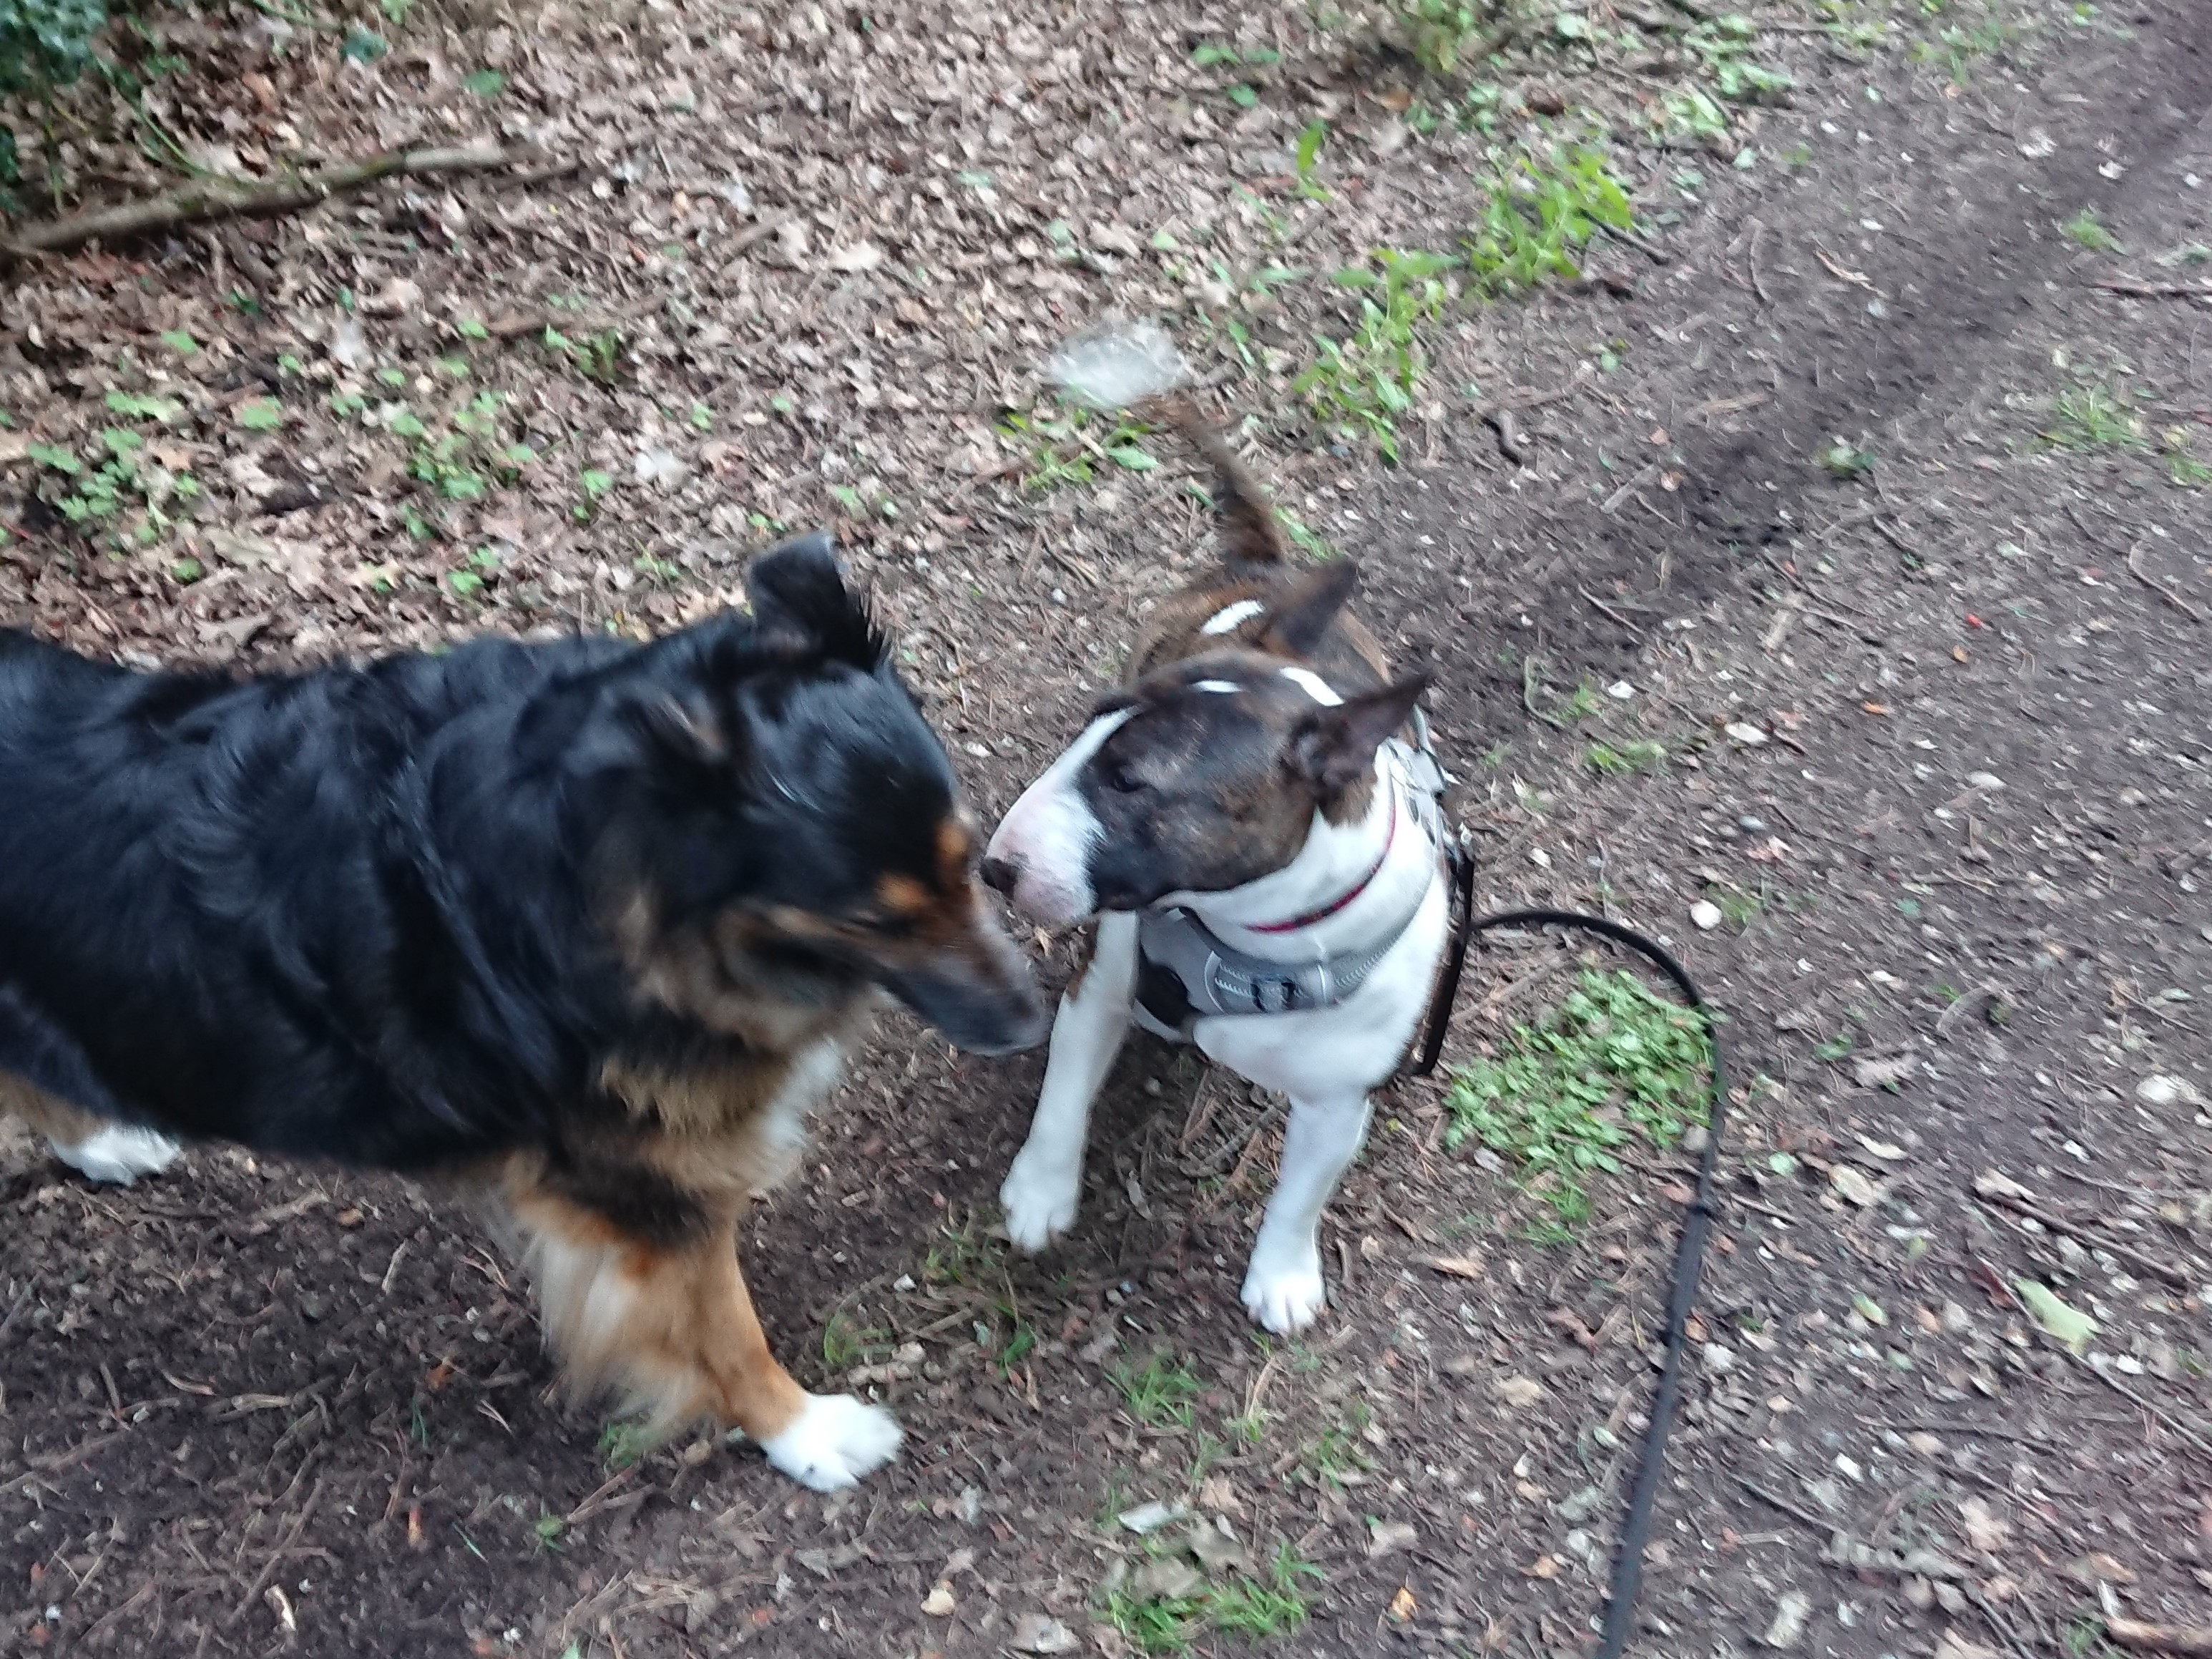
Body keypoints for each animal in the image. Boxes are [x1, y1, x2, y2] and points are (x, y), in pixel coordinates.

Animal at [0, 533, 1044, 1489]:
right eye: (876, 921)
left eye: (970, 861)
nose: (1032, 1020)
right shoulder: (643, 1191)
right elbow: (726, 1328)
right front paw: (806, 1434)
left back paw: (102, 1139)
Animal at [980, 405, 1451, 1334]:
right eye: (1090, 727)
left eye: (1130, 781)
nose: (997, 865)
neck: (1248, 939)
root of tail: (1264, 569)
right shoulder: (1101, 984)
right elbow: (1062, 1091)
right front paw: (1039, 1193)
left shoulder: (1338, 1103)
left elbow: (1303, 1193)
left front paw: (1284, 1276)